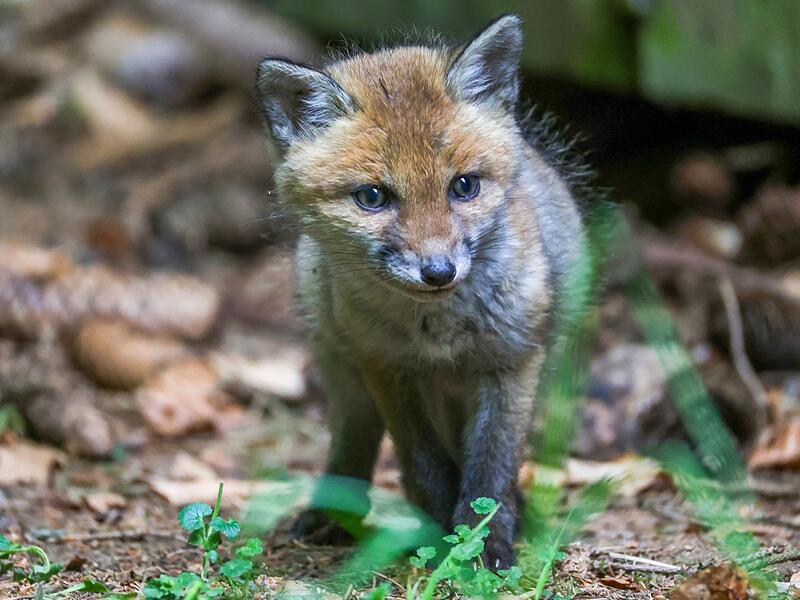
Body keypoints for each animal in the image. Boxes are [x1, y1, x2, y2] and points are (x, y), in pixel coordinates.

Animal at [255, 14, 586, 568]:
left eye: (464, 186)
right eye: (373, 197)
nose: (438, 271)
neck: (439, 332)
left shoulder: (514, 360)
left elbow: (491, 466)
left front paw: (483, 546)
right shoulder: (387, 366)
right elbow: (424, 463)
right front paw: (438, 539)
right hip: (342, 367)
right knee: (354, 443)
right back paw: (333, 514)